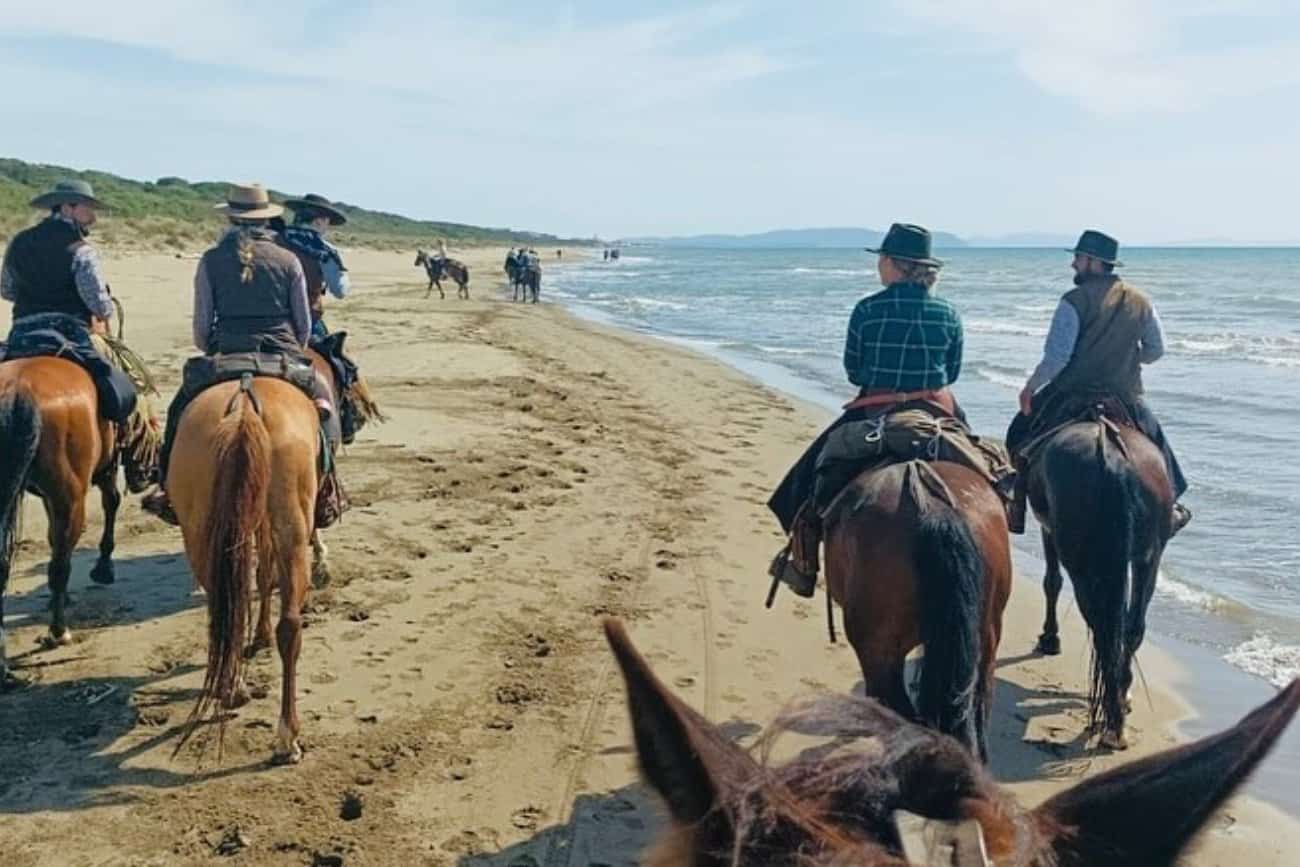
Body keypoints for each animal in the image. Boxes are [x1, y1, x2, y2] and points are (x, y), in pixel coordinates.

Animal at [0, 356, 154, 686]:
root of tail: (19, 388)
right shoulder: (104, 469)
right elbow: (111, 502)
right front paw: (104, 567)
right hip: (71, 497)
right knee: (59, 566)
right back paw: (59, 631)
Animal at [1024, 415, 1180, 748]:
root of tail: (1112, 459)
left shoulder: (1048, 531)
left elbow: (1051, 581)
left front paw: (1049, 638)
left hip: (1083, 562)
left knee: (1100, 627)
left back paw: (1111, 719)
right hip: (1148, 557)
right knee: (1130, 628)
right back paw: (1119, 701)